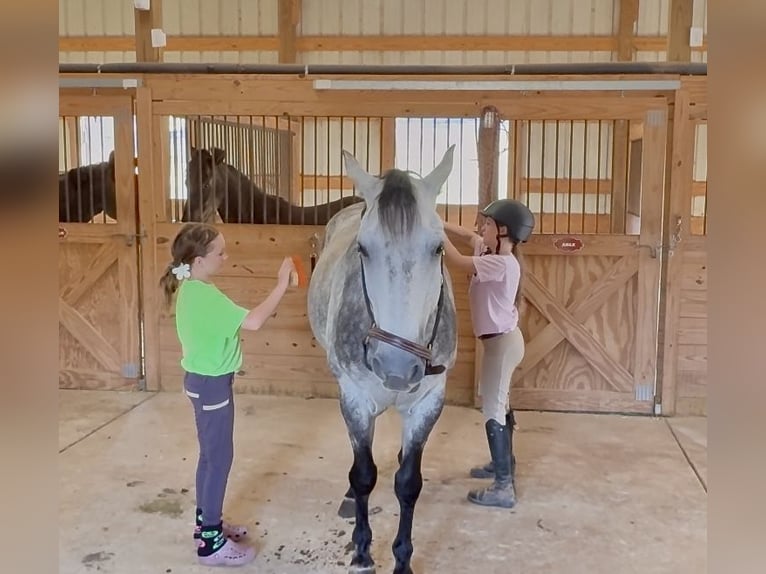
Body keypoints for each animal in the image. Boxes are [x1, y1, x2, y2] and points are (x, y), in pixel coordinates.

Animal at [307, 146, 458, 574]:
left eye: (438, 248)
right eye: (362, 248)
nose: (396, 369)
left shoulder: (428, 402)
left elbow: (408, 483)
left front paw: (402, 559)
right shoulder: (355, 399)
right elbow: (363, 476)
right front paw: (361, 551)